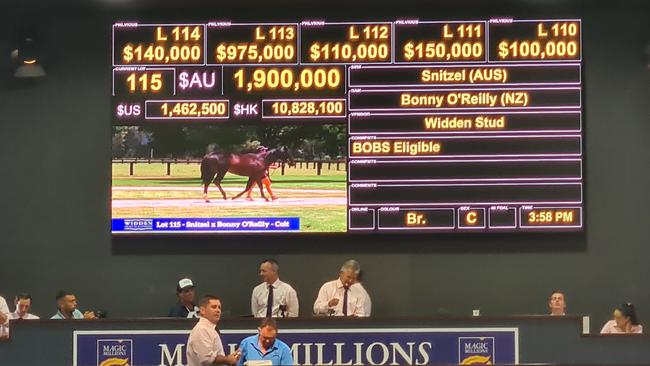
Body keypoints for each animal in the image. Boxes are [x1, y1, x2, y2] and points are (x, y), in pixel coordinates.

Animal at [109, 124, 346, 233]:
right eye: (287, 153)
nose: (294, 162)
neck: (260, 157)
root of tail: (210, 154)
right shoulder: (257, 174)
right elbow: (257, 187)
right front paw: (258, 198)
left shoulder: (256, 176)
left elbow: (254, 187)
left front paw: (251, 198)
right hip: (220, 171)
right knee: (213, 182)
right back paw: (215, 197)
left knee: (211, 183)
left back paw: (214, 197)